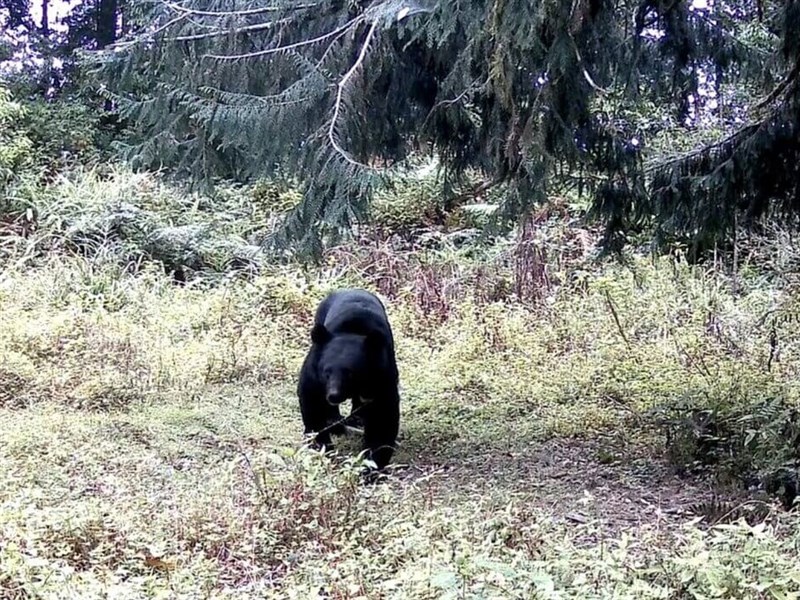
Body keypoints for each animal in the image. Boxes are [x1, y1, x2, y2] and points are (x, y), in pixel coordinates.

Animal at [296, 288, 401, 471]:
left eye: (351, 373)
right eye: (326, 372)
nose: (333, 395)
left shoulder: (383, 375)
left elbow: (383, 416)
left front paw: (372, 464)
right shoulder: (314, 373)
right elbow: (312, 403)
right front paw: (322, 448)